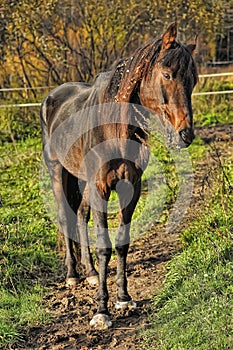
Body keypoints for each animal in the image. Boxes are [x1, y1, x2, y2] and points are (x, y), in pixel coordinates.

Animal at [41, 21, 198, 328]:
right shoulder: (101, 187)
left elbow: (122, 243)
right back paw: (72, 275)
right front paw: (101, 310)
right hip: (58, 172)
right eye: (167, 74)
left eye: (194, 80)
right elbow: (105, 246)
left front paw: (124, 298)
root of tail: (52, 98)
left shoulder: (130, 188)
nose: (185, 135)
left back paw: (90, 273)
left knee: (81, 215)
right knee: (66, 216)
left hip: (82, 180)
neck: (114, 127)